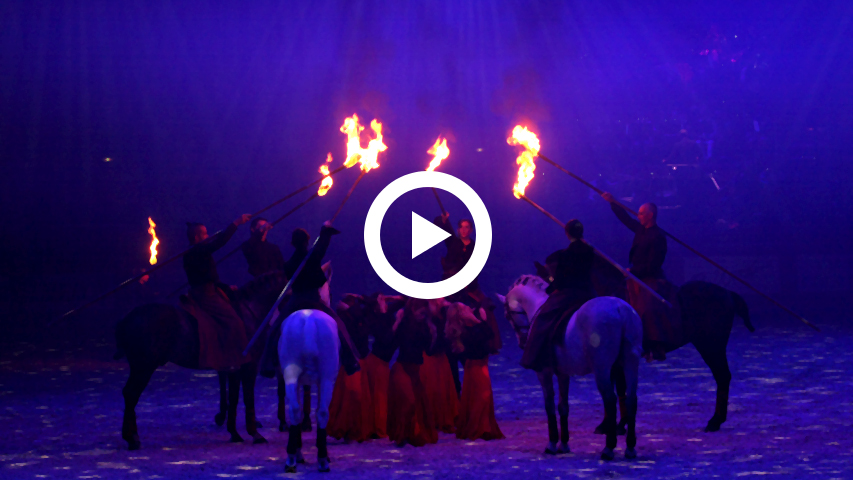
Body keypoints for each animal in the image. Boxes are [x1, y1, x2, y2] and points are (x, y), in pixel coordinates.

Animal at [113, 274, 284, 450]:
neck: (248, 312)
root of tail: (127, 318)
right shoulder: (249, 367)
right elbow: (248, 398)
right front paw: (255, 434)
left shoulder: (234, 369)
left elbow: (234, 398)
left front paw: (234, 433)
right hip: (144, 367)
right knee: (131, 394)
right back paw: (132, 438)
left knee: (129, 394)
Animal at [274, 262, 338, 472]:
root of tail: (309, 322)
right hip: (326, 378)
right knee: (321, 412)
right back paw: (321, 459)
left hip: (293, 375)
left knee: (297, 410)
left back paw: (292, 459)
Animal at [496, 276, 644, 460]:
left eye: (507, 315)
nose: (522, 342)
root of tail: (620, 309)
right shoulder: (563, 373)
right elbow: (563, 406)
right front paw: (564, 444)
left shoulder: (544, 373)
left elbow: (549, 405)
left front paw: (552, 444)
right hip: (630, 363)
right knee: (631, 399)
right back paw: (630, 447)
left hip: (602, 369)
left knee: (610, 400)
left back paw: (608, 448)